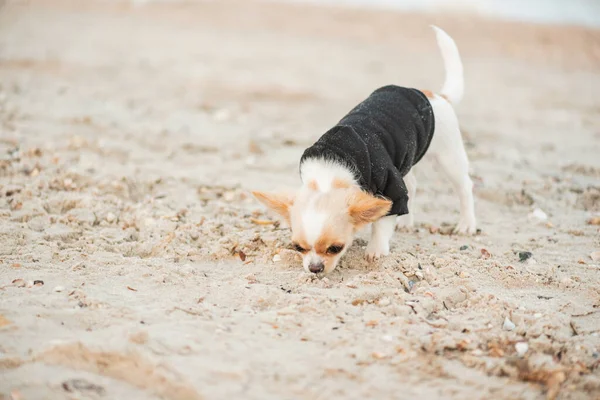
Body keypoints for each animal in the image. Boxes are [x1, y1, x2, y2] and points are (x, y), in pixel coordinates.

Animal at [254, 25, 478, 276]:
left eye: (335, 248)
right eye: (298, 247)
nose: (315, 268)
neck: (330, 171)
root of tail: (436, 96)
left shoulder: (391, 188)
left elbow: (383, 220)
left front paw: (376, 250)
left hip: (448, 156)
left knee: (464, 187)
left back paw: (466, 224)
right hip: (406, 161)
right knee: (412, 186)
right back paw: (407, 222)